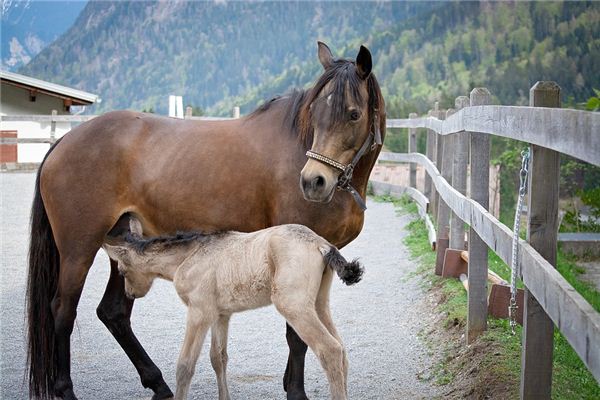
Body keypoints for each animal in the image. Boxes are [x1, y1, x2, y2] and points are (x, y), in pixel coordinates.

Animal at [102, 219, 360, 400]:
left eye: (122, 271)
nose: (130, 293)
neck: (188, 256)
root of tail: (321, 244)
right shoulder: (221, 315)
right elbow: (218, 357)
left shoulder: (199, 312)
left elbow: (185, 365)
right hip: (318, 304)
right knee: (342, 351)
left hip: (293, 305)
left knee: (330, 350)